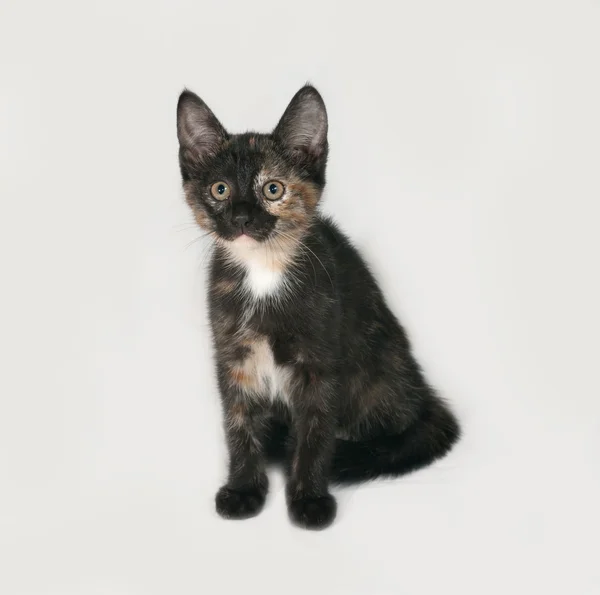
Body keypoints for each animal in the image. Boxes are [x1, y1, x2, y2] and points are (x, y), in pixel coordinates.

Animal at [176, 84, 462, 532]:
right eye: (219, 190)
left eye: (273, 189)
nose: (241, 218)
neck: (264, 270)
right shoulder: (233, 353)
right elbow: (238, 422)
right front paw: (243, 489)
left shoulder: (321, 359)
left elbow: (315, 430)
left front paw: (309, 498)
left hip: (379, 371)